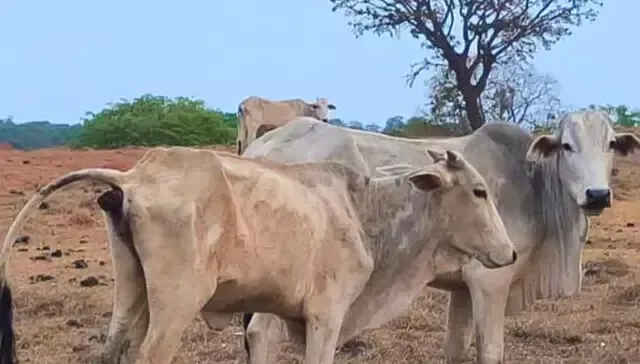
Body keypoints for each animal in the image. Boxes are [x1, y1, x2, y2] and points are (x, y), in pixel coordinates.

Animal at [0, 146, 516, 364]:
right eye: (479, 191)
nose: (509, 252)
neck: (361, 210)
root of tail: (134, 177)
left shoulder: (279, 316)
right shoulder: (326, 316)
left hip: (132, 295)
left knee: (113, 351)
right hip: (175, 304)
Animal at [240, 111, 640, 364]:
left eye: (610, 145)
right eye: (567, 146)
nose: (597, 195)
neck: (533, 183)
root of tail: (261, 146)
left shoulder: (462, 289)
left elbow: (455, 350)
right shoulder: (490, 280)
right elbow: (491, 351)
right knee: (261, 333)